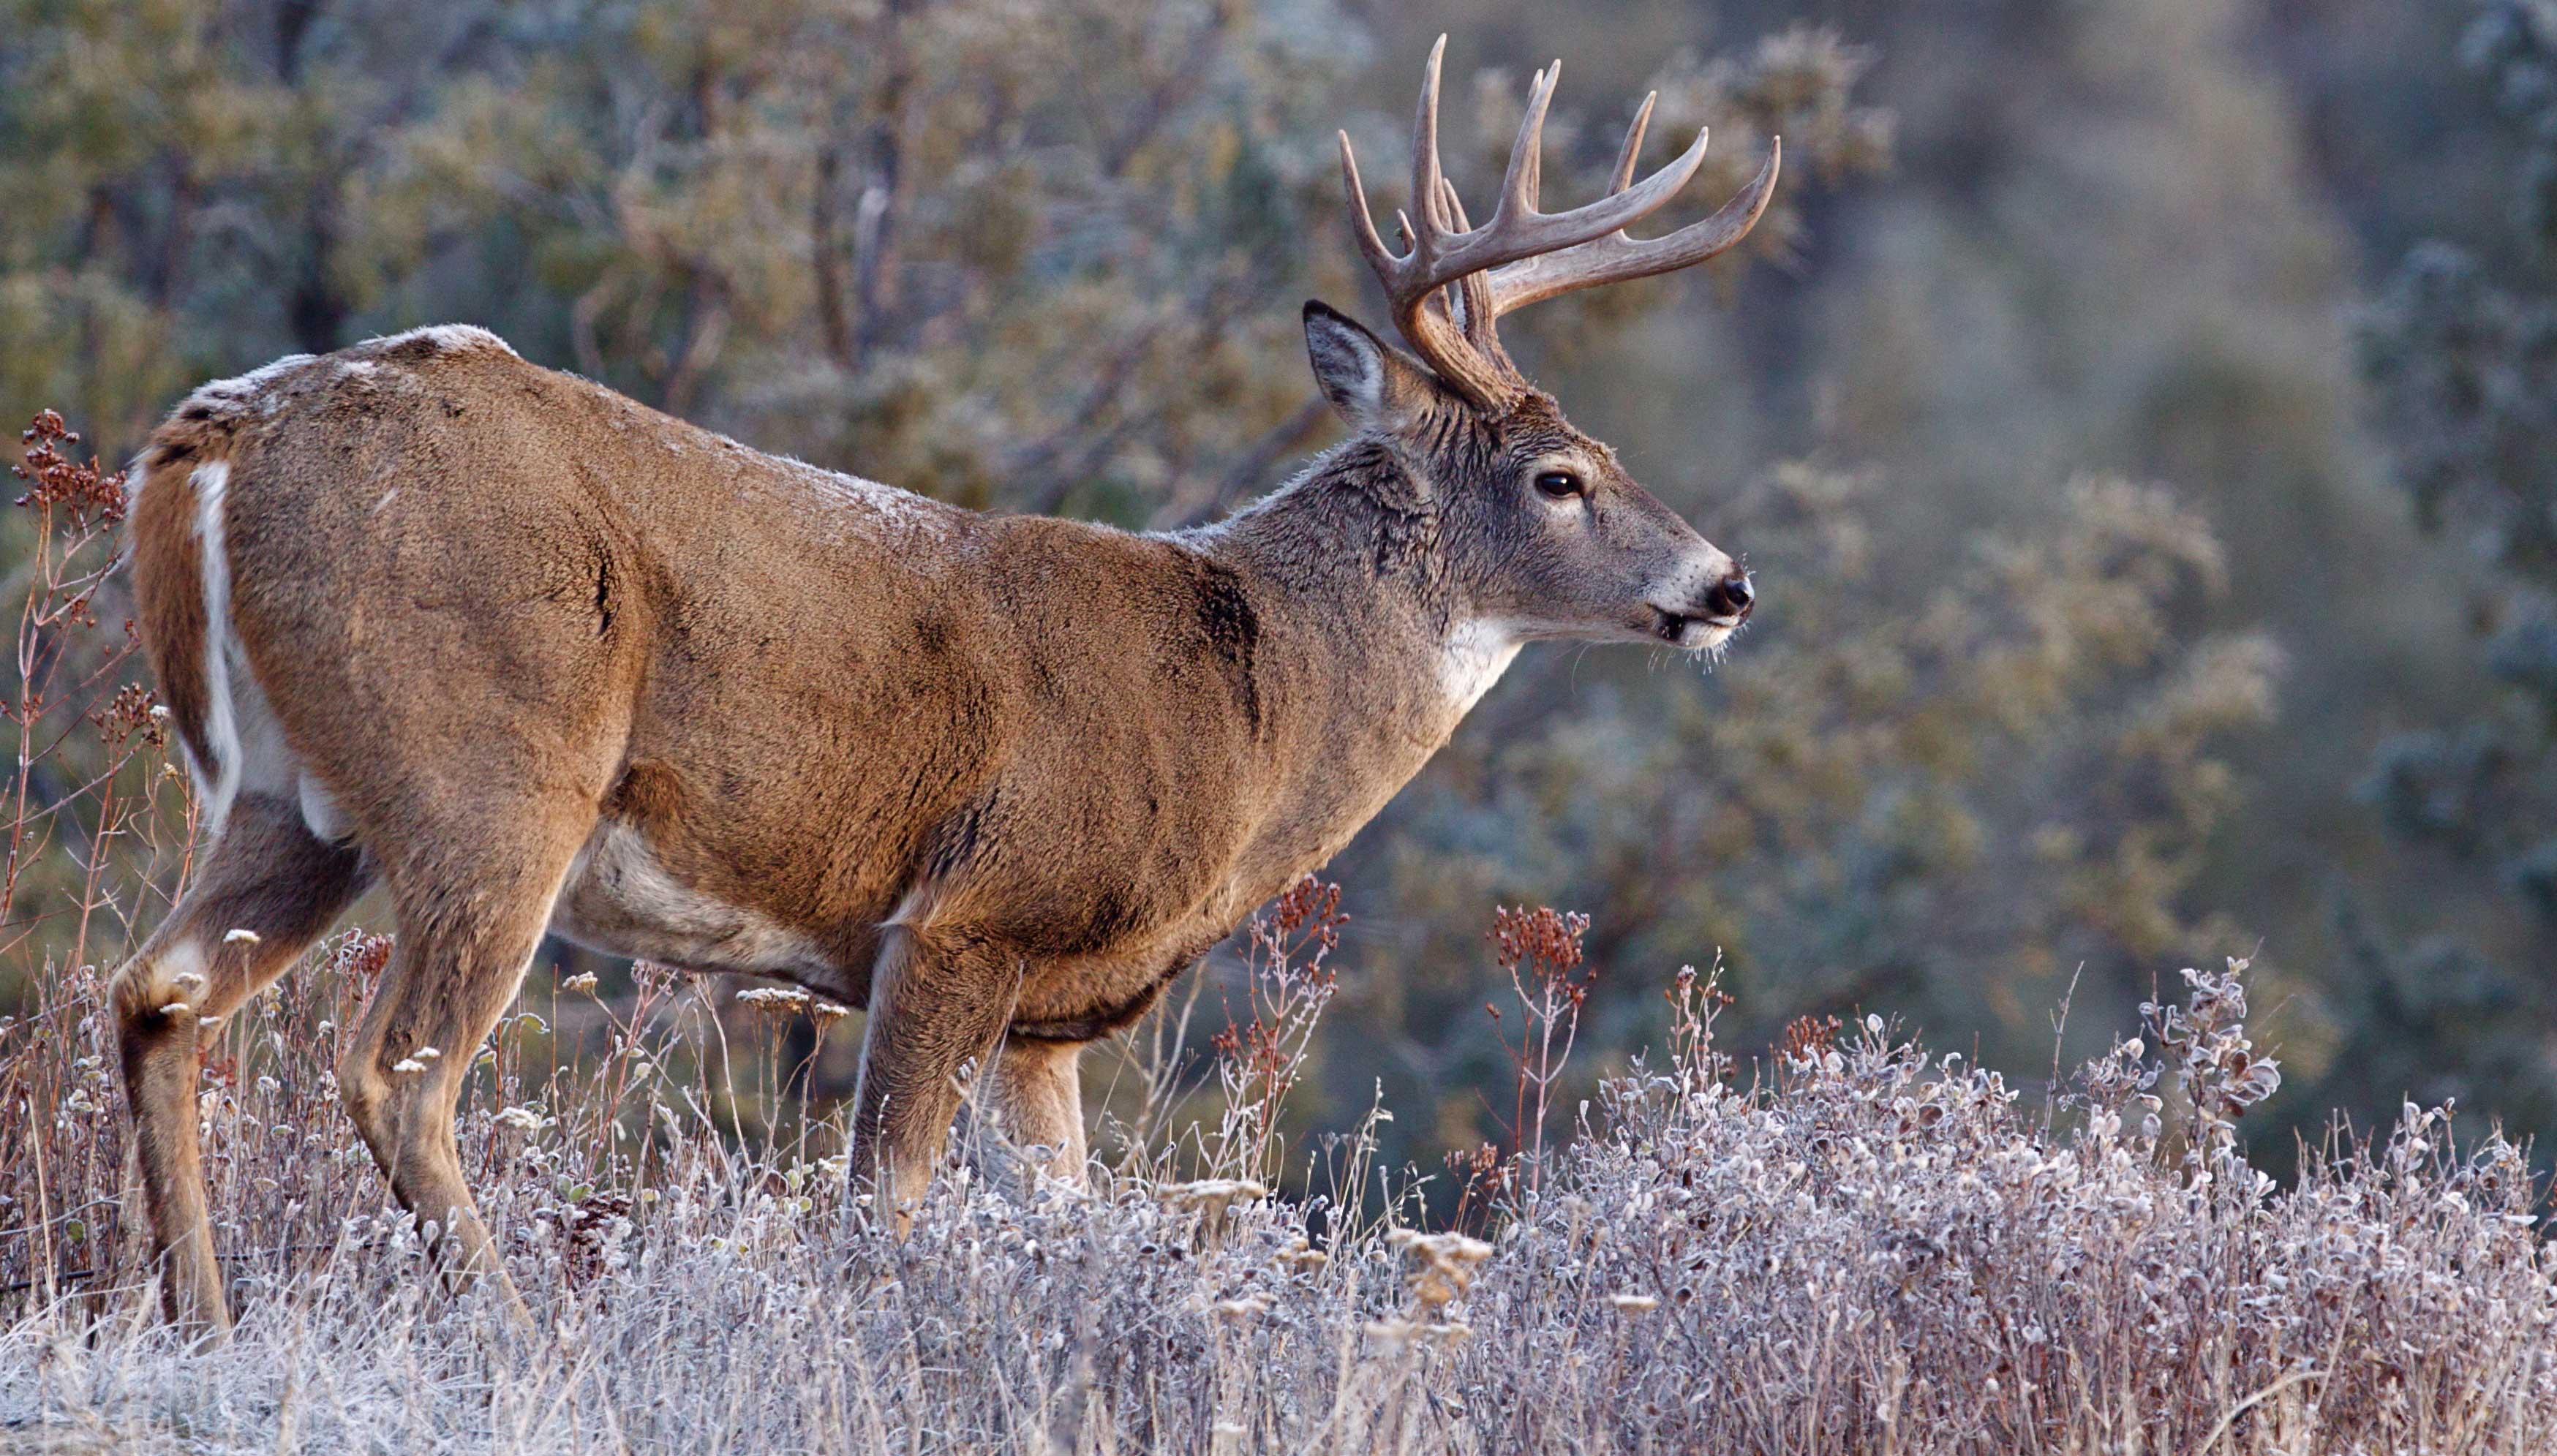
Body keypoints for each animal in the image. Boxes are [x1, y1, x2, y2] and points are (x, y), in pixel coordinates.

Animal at [108, 38, 1774, 1333]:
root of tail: (216, 435)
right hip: (491, 773)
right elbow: (880, 1207)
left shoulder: (1047, 1018)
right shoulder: (967, 916)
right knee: (394, 1067)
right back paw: (524, 1349)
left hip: (293, 801)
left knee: (156, 991)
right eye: (1559, 477)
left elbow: (1056, 1212)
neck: (1253, 706)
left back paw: (202, 1319)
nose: (1723, 585)